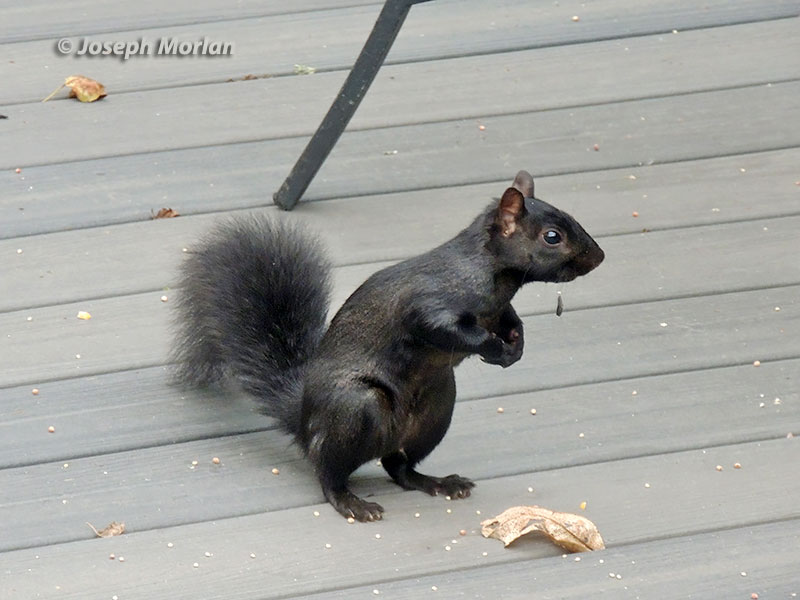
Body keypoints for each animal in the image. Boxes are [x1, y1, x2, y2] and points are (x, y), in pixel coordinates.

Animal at [172, 170, 604, 521]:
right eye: (552, 237)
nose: (599, 257)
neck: (494, 276)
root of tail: (305, 421)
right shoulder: (429, 304)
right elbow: (447, 329)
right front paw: (494, 348)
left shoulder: (499, 310)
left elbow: (510, 320)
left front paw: (515, 345)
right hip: (355, 408)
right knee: (328, 470)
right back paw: (350, 501)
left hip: (436, 411)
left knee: (399, 467)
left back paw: (437, 482)